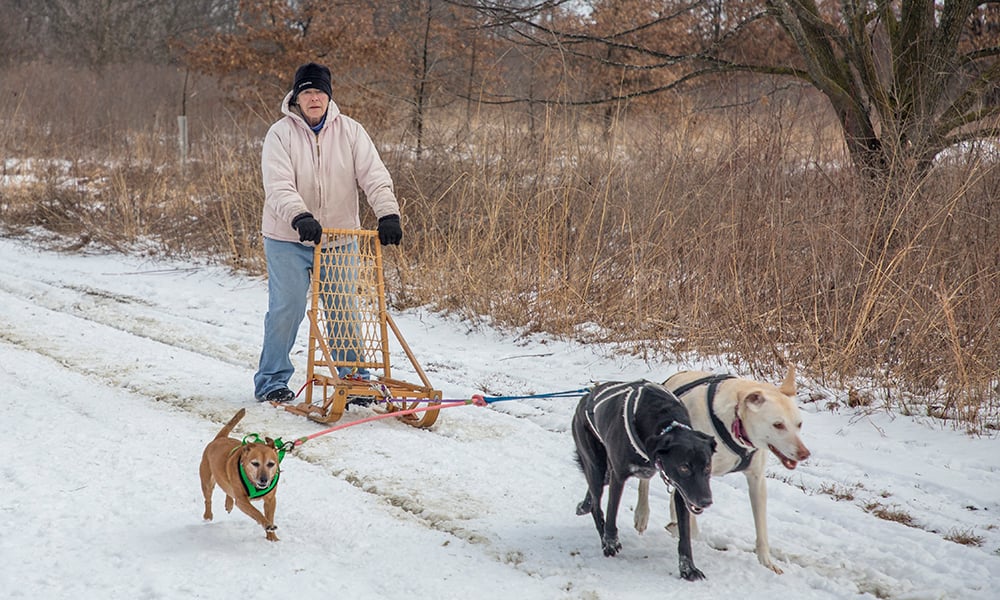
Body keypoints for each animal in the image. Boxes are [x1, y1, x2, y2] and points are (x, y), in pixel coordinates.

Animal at [198, 410, 282, 540]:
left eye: (271, 464)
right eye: (255, 463)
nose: (264, 480)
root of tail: (220, 438)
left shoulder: (270, 499)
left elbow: (270, 515)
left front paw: (272, 537)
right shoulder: (242, 501)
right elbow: (256, 512)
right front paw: (266, 524)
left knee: (228, 490)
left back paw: (229, 503)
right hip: (207, 480)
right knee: (208, 498)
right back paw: (208, 515)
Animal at [572, 380, 720, 580]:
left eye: (707, 467)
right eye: (684, 467)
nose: (706, 501)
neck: (666, 423)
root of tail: (586, 397)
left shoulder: (681, 491)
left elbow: (685, 536)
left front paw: (688, 568)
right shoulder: (619, 476)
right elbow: (611, 512)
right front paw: (610, 542)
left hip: (605, 473)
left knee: (594, 496)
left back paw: (584, 506)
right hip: (596, 465)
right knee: (597, 504)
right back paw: (602, 535)